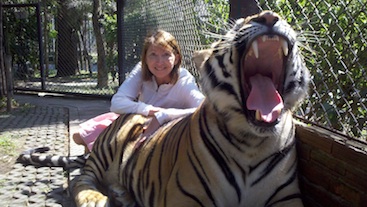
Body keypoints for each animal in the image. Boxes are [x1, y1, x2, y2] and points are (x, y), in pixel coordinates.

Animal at [17, 11, 310, 207]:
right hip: (107, 149)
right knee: (79, 180)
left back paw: (122, 194)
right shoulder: (186, 196)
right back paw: (97, 198)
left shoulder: (288, 198)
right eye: (238, 24)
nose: (269, 16)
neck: (252, 142)